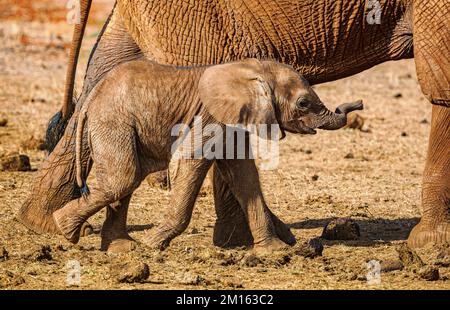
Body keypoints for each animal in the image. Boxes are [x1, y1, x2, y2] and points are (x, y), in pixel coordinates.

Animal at [52, 57, 362, 252]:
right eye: (303, 103)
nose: (358, 103)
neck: (254, 68)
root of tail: (90, 99)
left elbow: (245, 175)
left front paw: (274, 249)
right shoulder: (210, 116)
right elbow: (194, 161)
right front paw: (153, 244)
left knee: (126, 180)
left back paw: (120, 249)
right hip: (113, 120)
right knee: (123, 178)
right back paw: (65, 229)